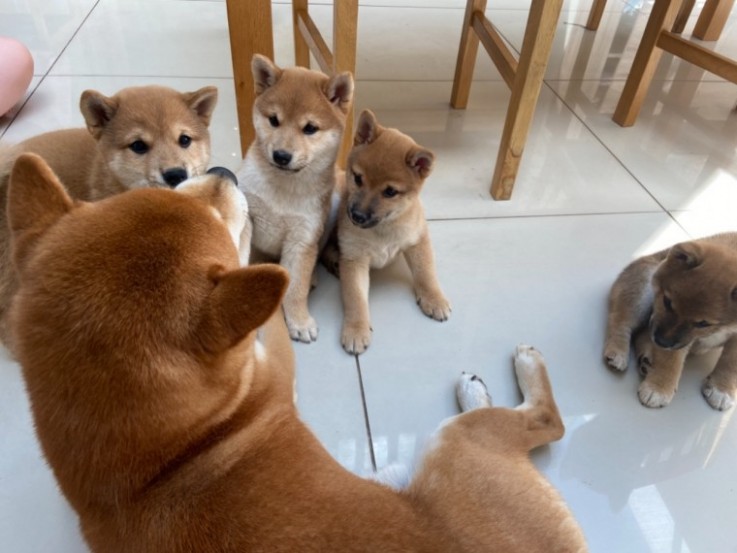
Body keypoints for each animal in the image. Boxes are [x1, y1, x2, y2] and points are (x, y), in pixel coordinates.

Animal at [7, 156, 588, 552]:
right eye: (218, 217)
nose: (222, 168)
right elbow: (279, 311)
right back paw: (505, 374)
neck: (166, 462)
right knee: (546, 422)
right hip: (459, 445)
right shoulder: (274, 373)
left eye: (187, 195)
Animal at [236, 54, 350, 342]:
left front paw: (299, 320)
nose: (281, 155)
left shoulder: (303, 238)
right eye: (274, 120)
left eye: (310, 128)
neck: (283, 190)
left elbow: (296, 288)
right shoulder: (247, 217)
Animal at [330, 109, 448, 354]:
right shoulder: (354, 258)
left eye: (390, 192)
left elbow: (426, 272)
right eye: (358, 178)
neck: (383, 230)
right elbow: (355, 299)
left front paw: (434, 298)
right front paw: (356, 329)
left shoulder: (418, 240)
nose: (356, 216)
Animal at [604, 231, 736, 408]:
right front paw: (659, 388)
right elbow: (670, 360)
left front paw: (722, 388)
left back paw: (647, 360)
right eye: (667, 302)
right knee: (620, 322)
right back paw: (617, 352)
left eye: (703, 323)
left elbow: (731, 362)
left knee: (641, 333)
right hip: (643, 289)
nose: (662, 342)